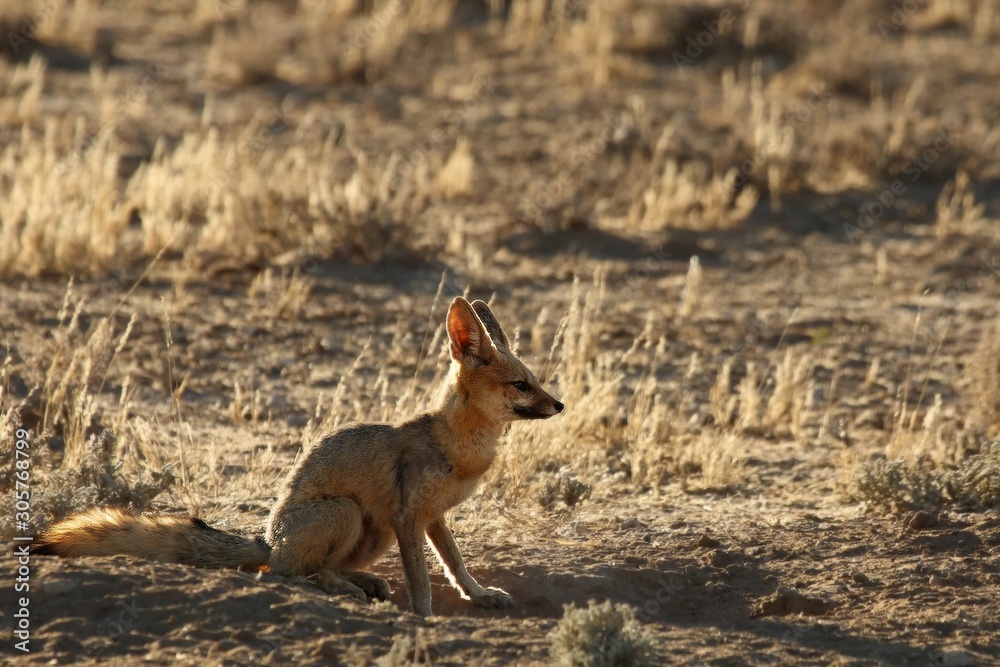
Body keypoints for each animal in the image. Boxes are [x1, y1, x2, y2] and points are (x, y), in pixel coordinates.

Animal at [34, 297, 564, 616]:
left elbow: (455, 565)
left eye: (536, 380)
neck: (457, 444)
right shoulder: (408, 516)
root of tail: (268, 538)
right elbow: (423, 582)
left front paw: (479, 595)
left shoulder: (429, 518)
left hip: (373, 531)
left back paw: (360, 583)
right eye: (521, 385)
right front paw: (426, 620)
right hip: (349, 513)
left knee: (302, 569)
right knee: (289, 574)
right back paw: (343, 588)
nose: (558, 405)